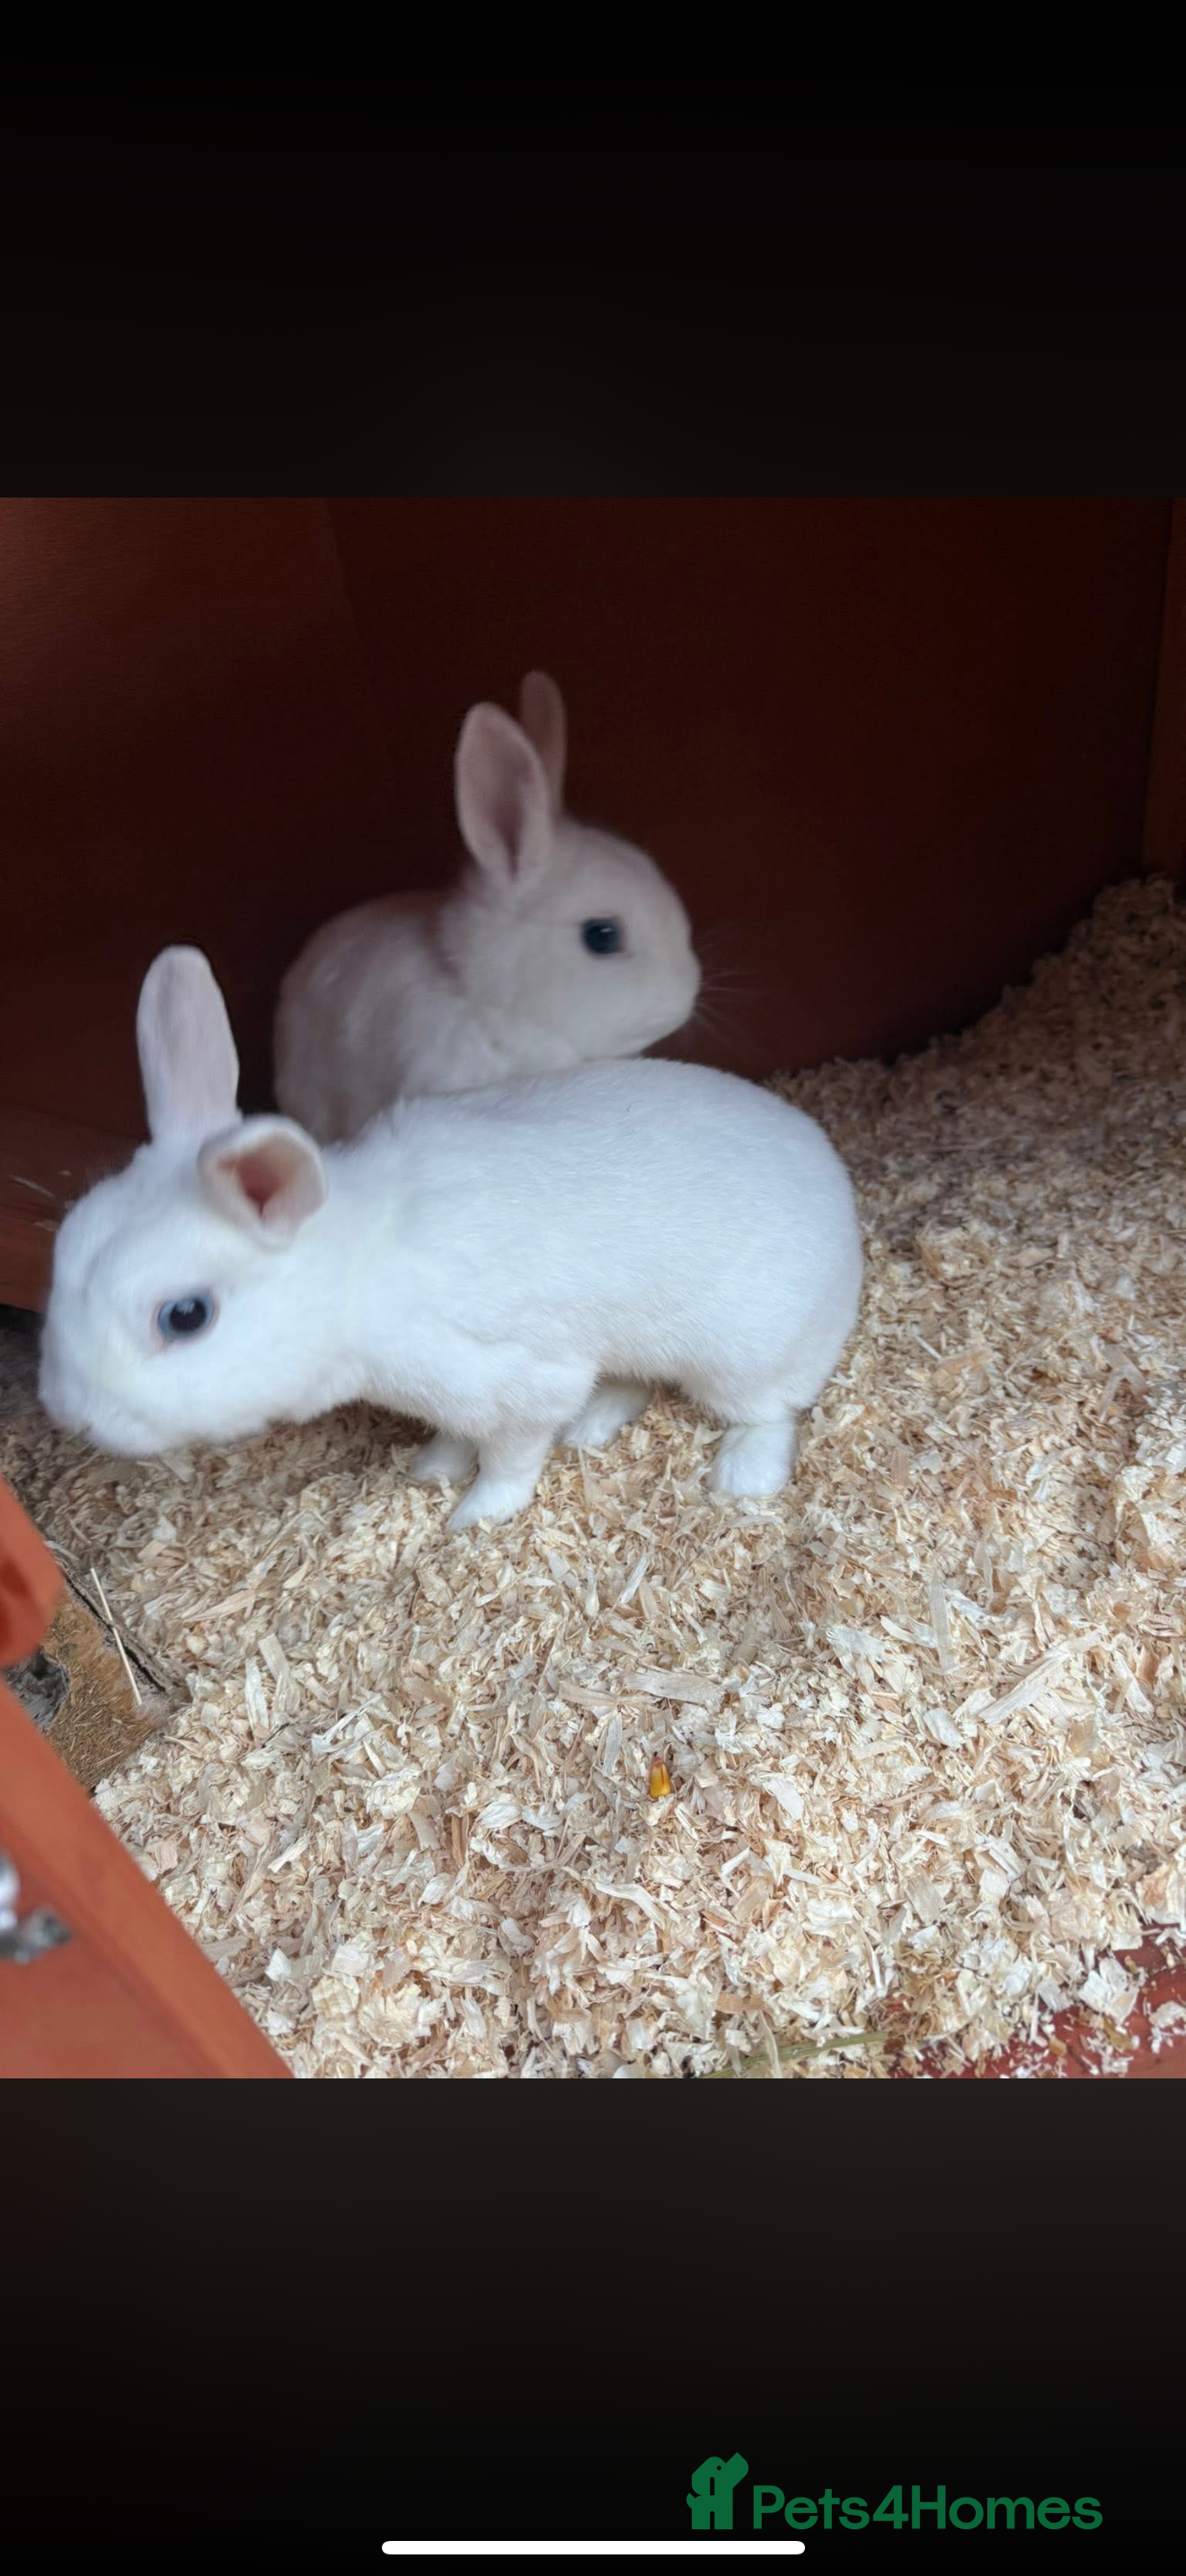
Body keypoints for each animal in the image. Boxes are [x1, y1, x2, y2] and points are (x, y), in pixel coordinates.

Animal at [39, 947, 863, 1534]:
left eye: (185, 1316)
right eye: (64, 1249)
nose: (70, 1415)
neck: (357, 1276)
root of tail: (841, 1201)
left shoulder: (520, 1380)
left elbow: (510, 1460)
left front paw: (472, 1517)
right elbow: (458, 1438)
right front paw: (431, 1467)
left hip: (741, 1354)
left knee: (768, 1412)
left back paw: (740, 1477)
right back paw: (592, 1428)